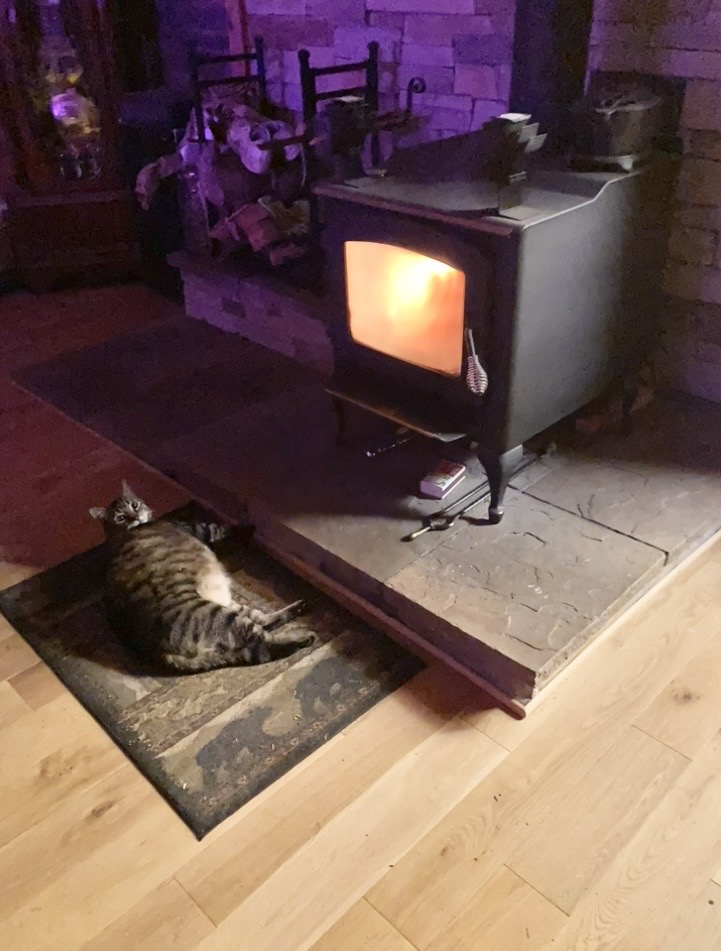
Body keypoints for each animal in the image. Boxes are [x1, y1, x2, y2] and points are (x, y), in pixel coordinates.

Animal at [89, 482, 314, 672]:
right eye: (120, 517)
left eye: (134, 505)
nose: (135, 517)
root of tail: (156, 652)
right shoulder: (195, 528)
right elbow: (216, 527)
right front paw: (246, 528)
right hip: (217, 614)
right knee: (261, 643)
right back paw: (303, 637)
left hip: (228, 605)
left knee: (262, 621)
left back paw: (298, 608)